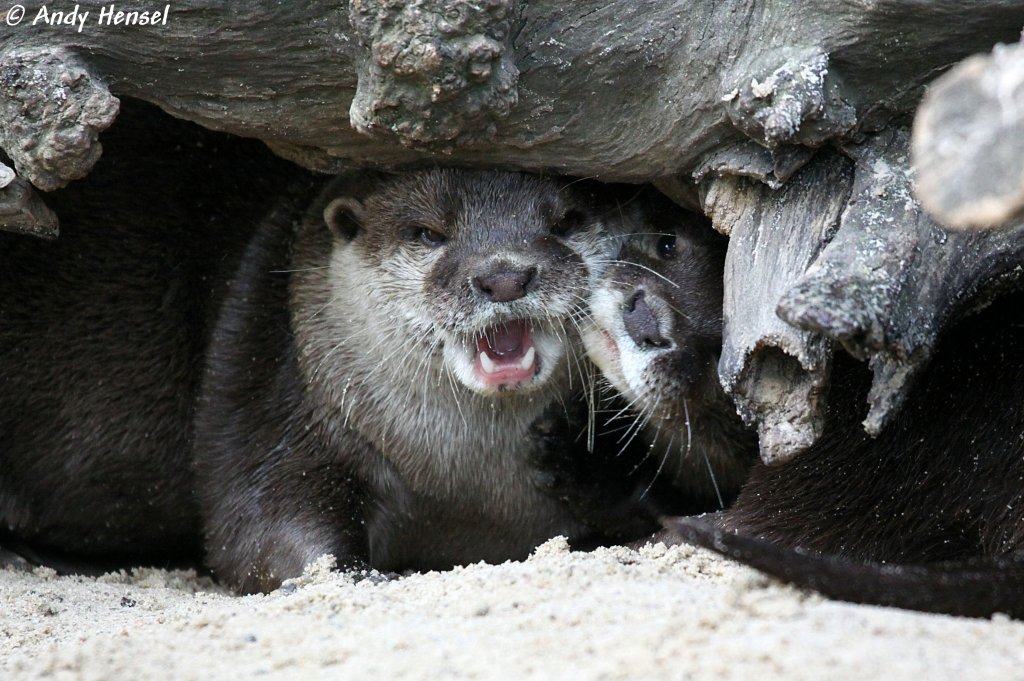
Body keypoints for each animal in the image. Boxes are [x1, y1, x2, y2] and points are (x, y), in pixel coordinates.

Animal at [192, 165, 643, 589]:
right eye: (428, 233)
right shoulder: (278, 417)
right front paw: (358, 572)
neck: (474, 495)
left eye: (566, 221)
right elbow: (254, 528)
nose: (504, 278)